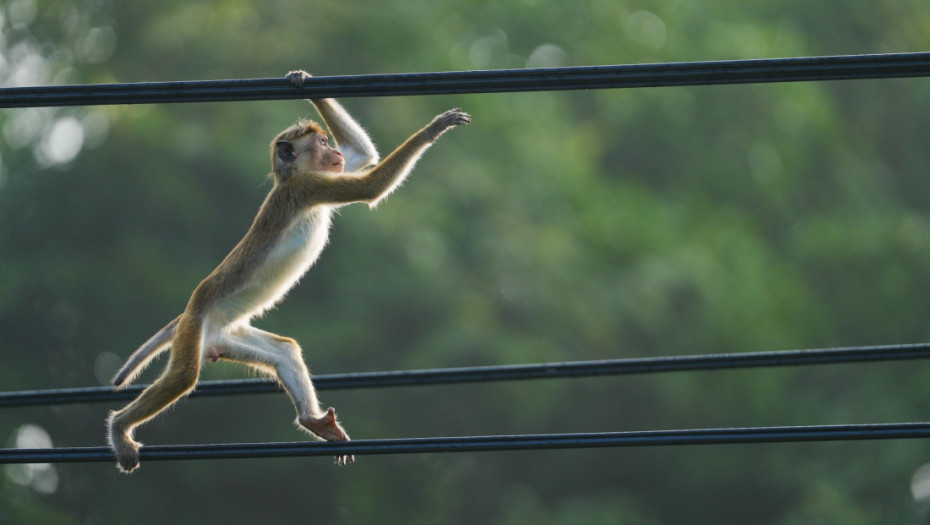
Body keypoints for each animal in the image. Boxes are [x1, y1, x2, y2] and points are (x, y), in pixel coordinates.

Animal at [107, 67, 472, 472]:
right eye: (322, 144)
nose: (334, 152)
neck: (291, 177)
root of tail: (192, 313)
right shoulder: (309, 187)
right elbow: (370, 186)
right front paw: (432, 130)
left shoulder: (322, 177)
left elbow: (364, 155)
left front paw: (303, 81)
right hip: (194, 328)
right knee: (184, 376)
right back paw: (120, 427)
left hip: (226, 336)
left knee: (285, 352)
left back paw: (313, 421)